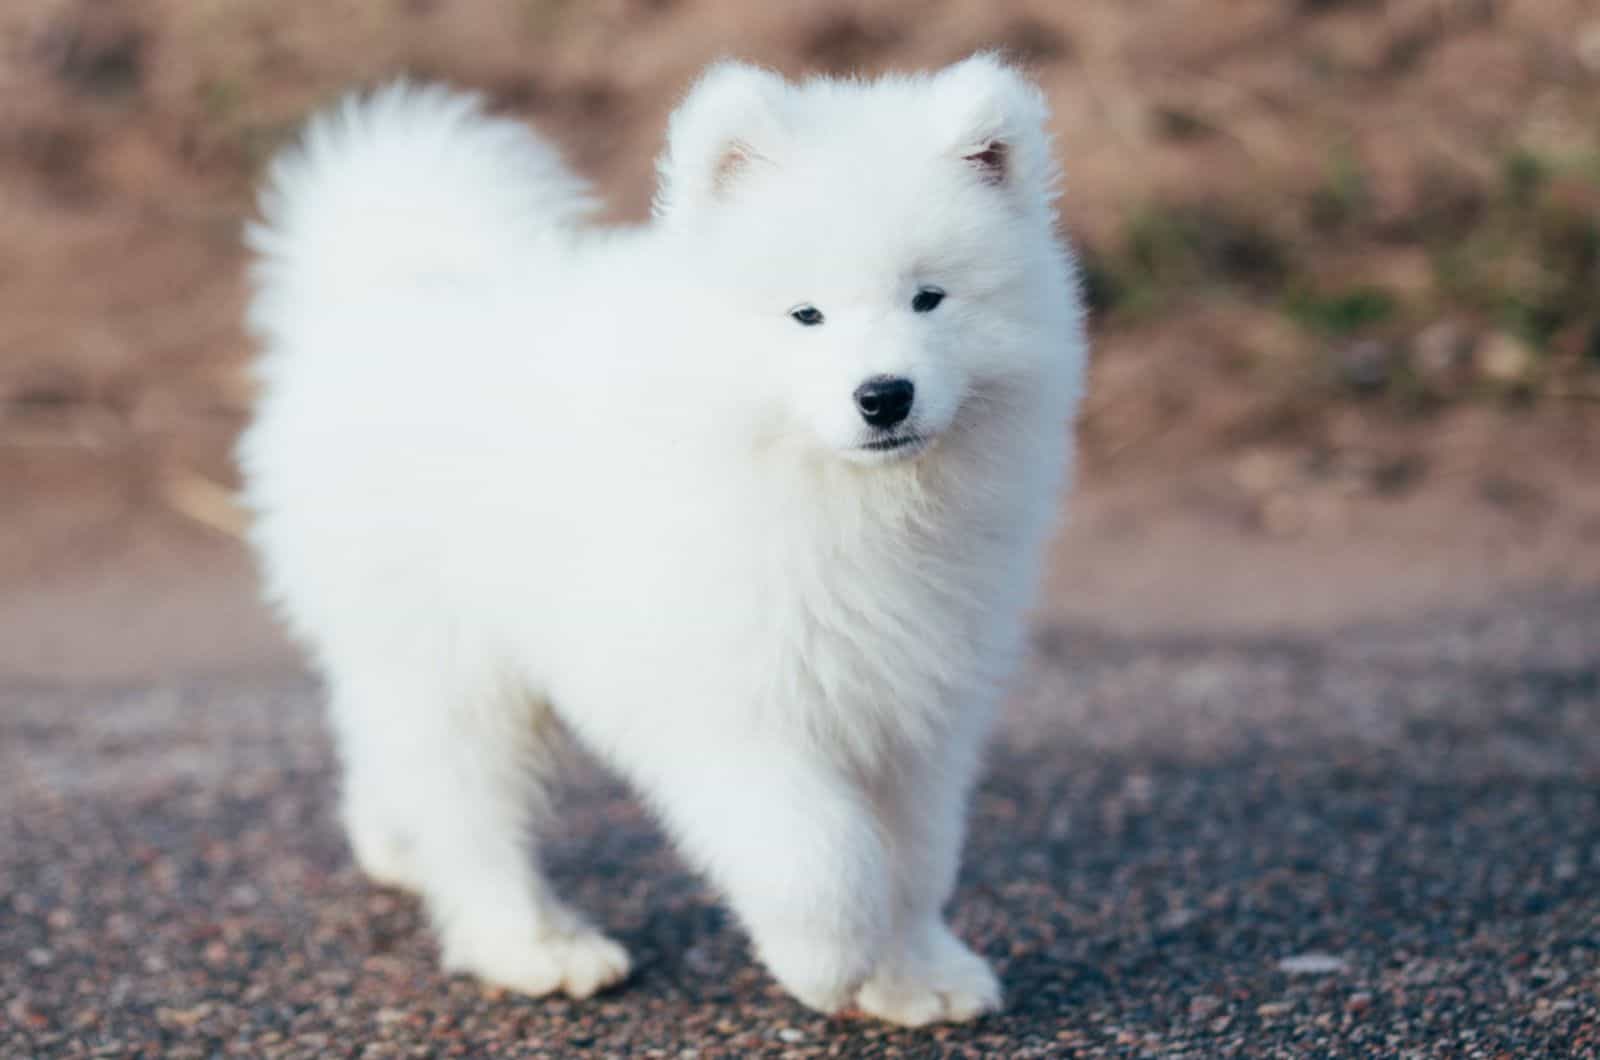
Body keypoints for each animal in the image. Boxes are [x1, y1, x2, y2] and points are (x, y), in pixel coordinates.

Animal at [236, 52, 1088, 1031]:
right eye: (806, 315)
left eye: (930, 298)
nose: (884, 395)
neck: (835, 495)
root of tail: (376, 296)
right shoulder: (726, 700)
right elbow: (819, 854)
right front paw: (828, 964)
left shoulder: (918, 701)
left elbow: (916, 855)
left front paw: (915, 973)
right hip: (451, 658)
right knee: (472, 818)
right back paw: (536, 946)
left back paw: (396, 846)